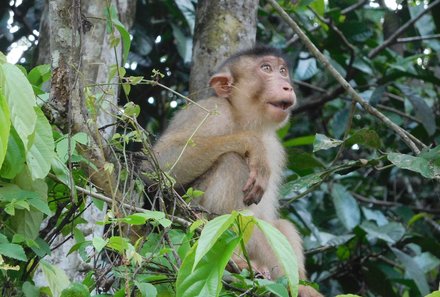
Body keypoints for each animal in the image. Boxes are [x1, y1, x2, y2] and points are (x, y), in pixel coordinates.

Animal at [151, 46, 324, 296]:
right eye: (266, 68)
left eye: (283, 71)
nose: (287, 86)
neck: (246, 120)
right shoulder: (211, 111)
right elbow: (157, 164)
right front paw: (252, 144)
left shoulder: (275, 148)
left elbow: (267, 221)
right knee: (231, 161)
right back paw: (237, 260)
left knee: (280, 225)